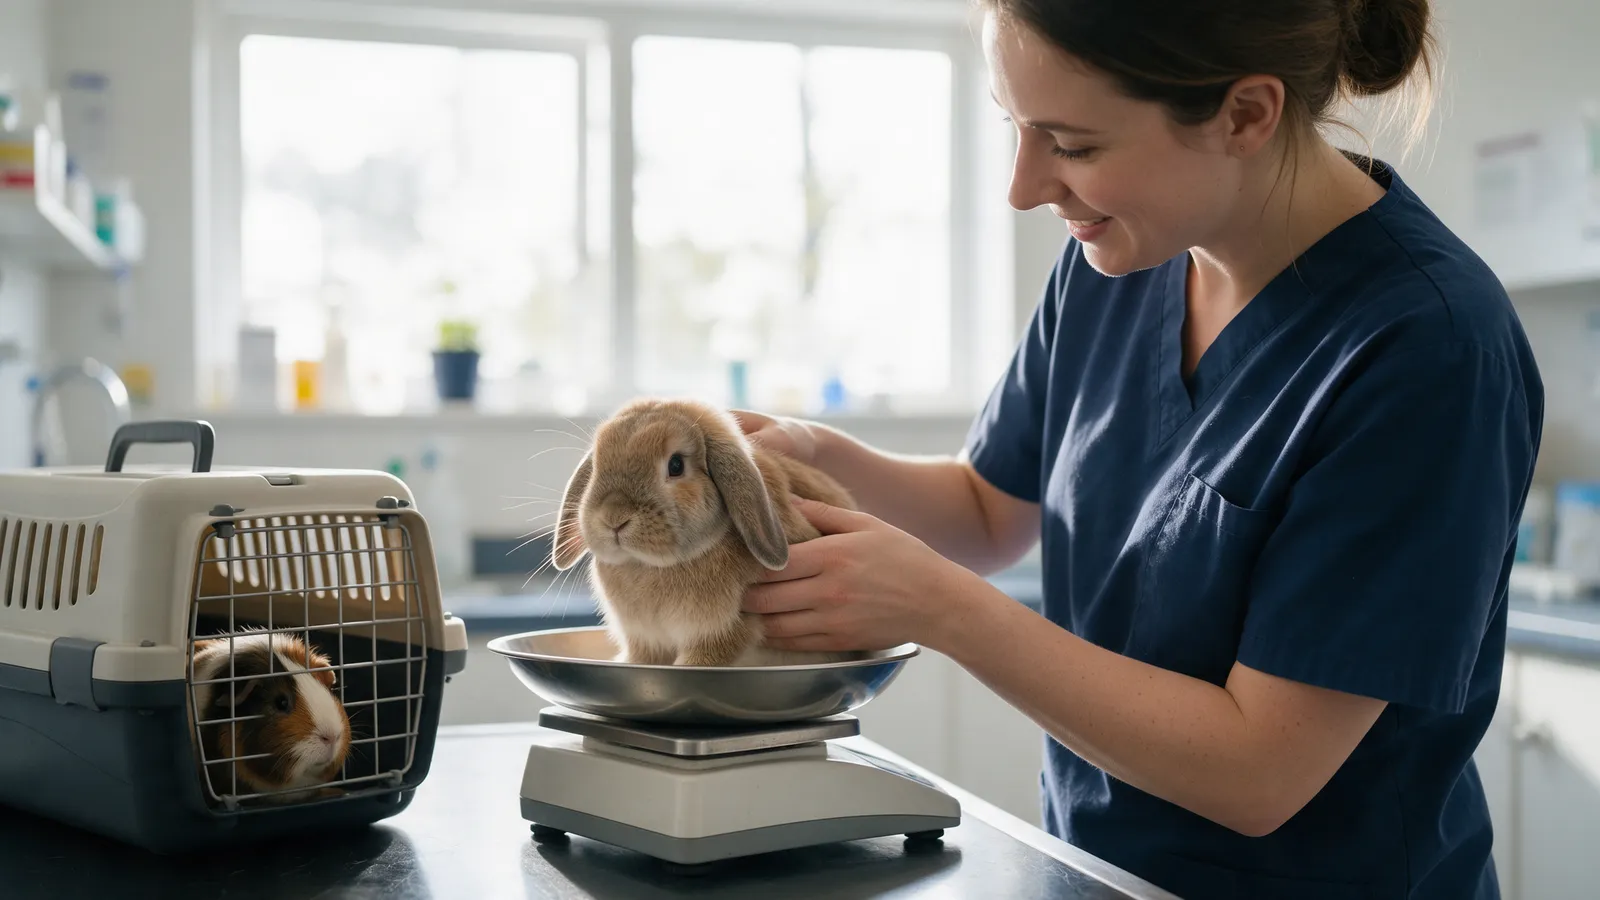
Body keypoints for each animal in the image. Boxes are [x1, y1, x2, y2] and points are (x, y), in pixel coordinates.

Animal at [551, 397, 862, 667]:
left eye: (676, 465)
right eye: (597, 466)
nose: (614, 518)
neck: (650, 566)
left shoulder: (723, 633)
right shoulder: (645, 641)